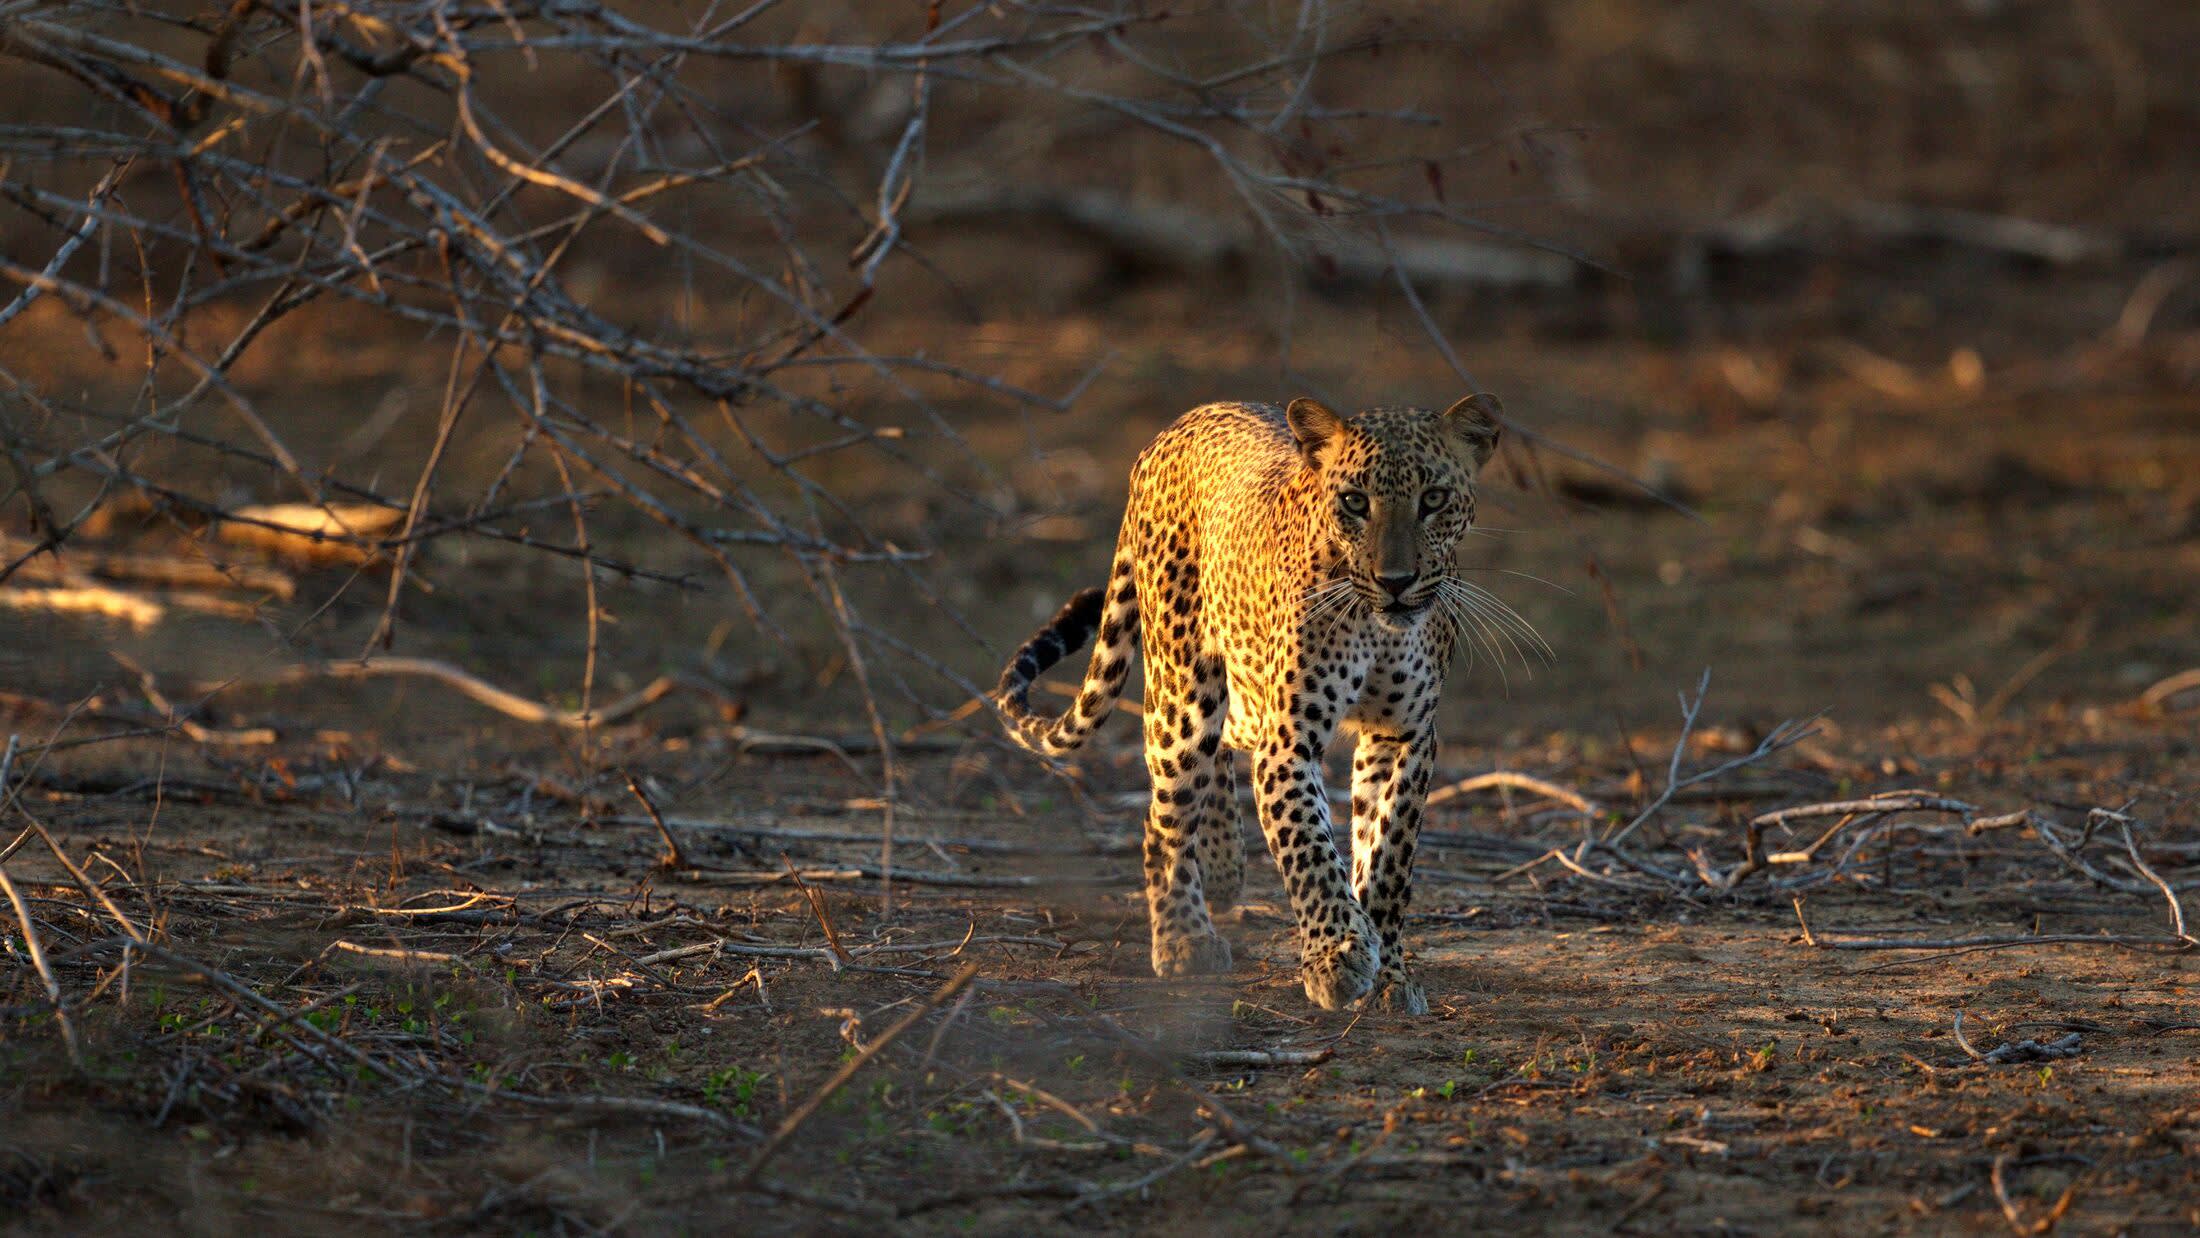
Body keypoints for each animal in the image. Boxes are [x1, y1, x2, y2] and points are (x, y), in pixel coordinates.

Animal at [992, 393, 1521, 1014]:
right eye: (1355, 501)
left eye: (1433, 498)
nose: (1396, 580)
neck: (1380, 626)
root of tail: (1173, 429)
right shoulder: (1289, 741)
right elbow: (1309, 848)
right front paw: (1338, 957)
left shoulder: (1404, 737)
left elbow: (1387, 858)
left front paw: (1389, 972)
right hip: (1182, 693)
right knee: (1162, 817)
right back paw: (1184, 938)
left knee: (1222, 746)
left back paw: (1222, 863)